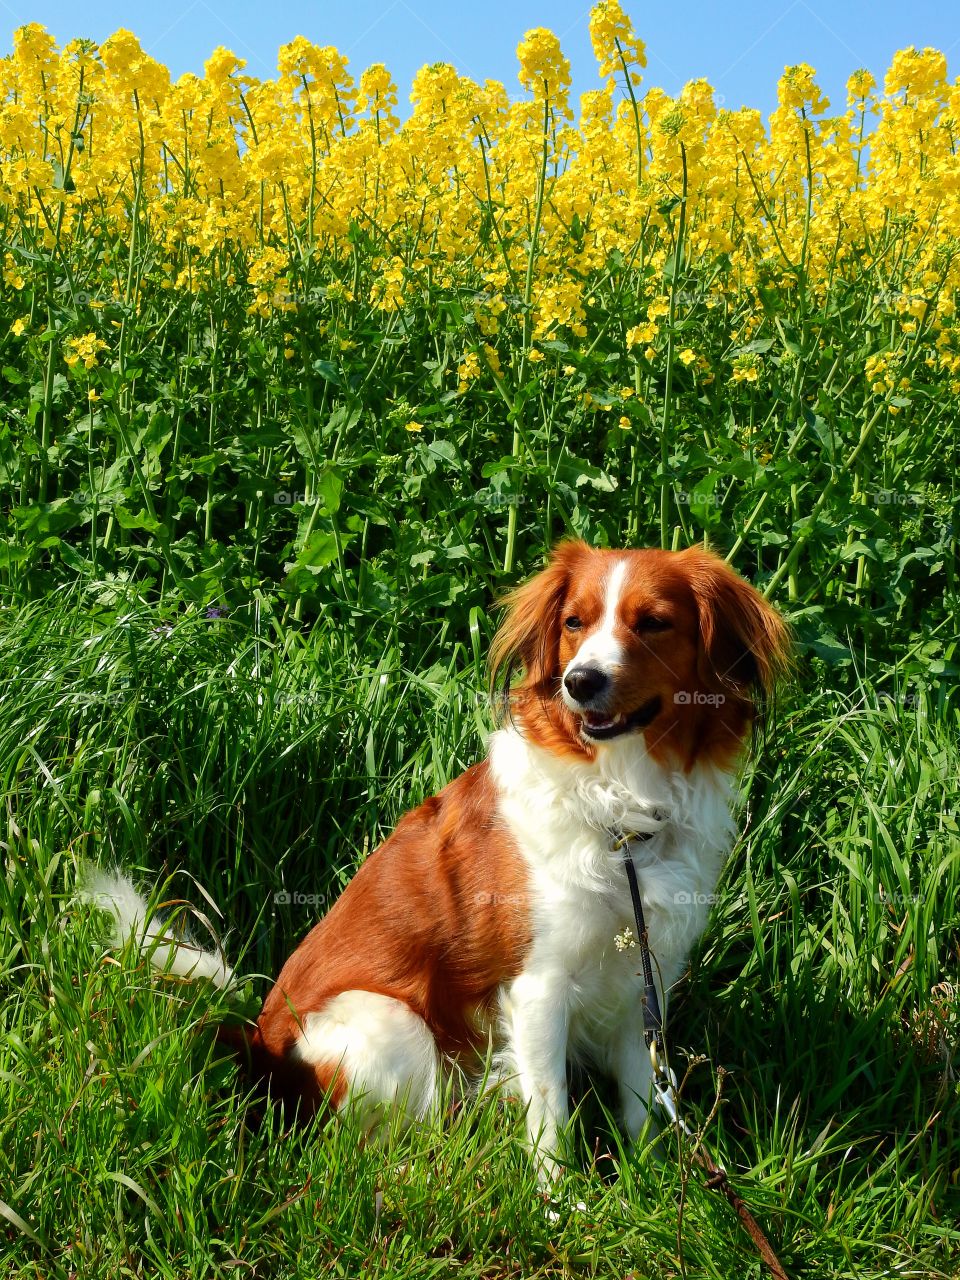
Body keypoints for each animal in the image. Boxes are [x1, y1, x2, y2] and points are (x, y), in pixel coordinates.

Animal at [84, 540, 788, 1177]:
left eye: (653, 623)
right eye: (574, 623)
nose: (580, 681)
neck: (621, 810)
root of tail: (259, 1040)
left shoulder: (645, 977)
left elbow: (644, 1098)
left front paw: (660, 1184)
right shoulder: (539, 985)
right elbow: (551, 1115)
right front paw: (562, 1204)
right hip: (393, 1024)